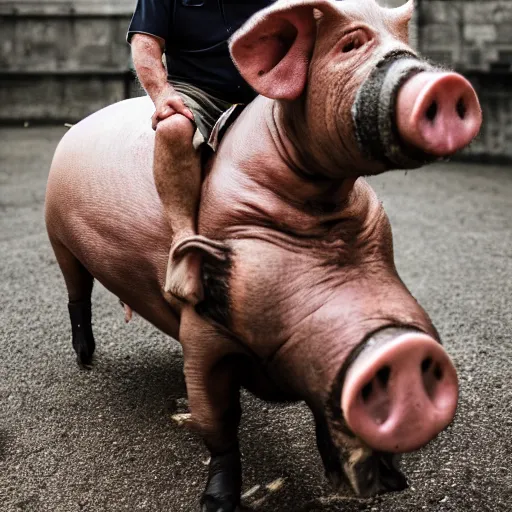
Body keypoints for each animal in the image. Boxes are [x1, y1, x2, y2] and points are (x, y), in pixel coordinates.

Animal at [45, 1, 480, 512]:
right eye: (351, 44)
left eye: (376, 264)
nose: (407, 348)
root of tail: (75, 126)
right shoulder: (205, 334)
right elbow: (218, 421)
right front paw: (217, 501)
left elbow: (322, 417)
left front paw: (388, 481)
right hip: (58, 237)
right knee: (77, 290)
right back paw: (85, 357)